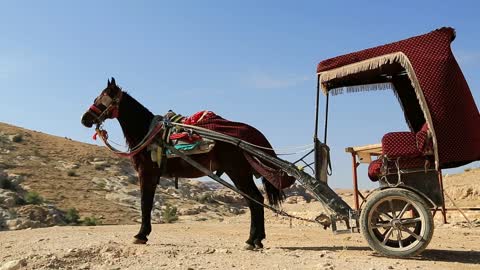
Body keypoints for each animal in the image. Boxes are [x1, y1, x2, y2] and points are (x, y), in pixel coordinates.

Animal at [80, 77, 286, 249]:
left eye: (101, 99)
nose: (84, 119)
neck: (149, 133)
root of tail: (249, 135)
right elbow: (148, 203)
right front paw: (143, 234)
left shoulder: (146, 173)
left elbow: (145, 203)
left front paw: (141, 235)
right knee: (256, 200)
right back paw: (257, 239)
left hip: (238, 172)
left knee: (254, 200)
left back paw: (252, 240)